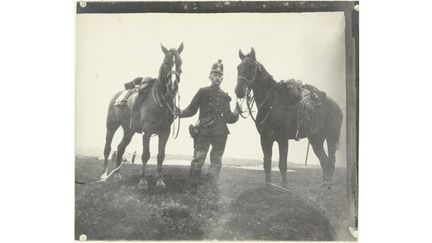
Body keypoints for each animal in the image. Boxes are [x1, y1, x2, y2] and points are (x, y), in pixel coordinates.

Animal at [100, 42, 183, 189]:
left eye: (180, 63)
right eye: (166, 62)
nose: (173, 87)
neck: (159, 102)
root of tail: (116, 96)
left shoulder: (165, 132)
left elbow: (161, 155)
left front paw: (160, 181)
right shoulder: (147, 132)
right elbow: (145, 155)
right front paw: (143, 181)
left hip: (129, 130)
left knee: (120, 148)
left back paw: (117, 175)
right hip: (111, 126)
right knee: (107, 148)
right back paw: (104, 175)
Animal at [235, 48, 342, 185]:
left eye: (251, 66)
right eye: (238, 67)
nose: (238, 91)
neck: (272, 104)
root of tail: (336, 106)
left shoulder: (283, 139)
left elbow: (282, 165)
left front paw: (285, 186)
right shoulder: (265, 139)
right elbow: (267, 164)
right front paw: (268, 187)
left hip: (330, 138)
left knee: (331, 162)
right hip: (316, 139)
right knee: (325, 162)